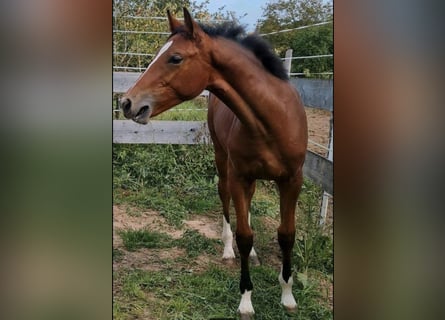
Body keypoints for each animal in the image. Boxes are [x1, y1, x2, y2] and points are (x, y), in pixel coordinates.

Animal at [119, 6, 306, 318]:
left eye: (175, 58)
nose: (127, 103)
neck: (271, 121)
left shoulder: (292, 180)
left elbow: (286, 234)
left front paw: (288, 295)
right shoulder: (240, 176)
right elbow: (244, 235)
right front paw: (246, 300)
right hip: (223, 163)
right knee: (225, 198)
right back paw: (229, 250)